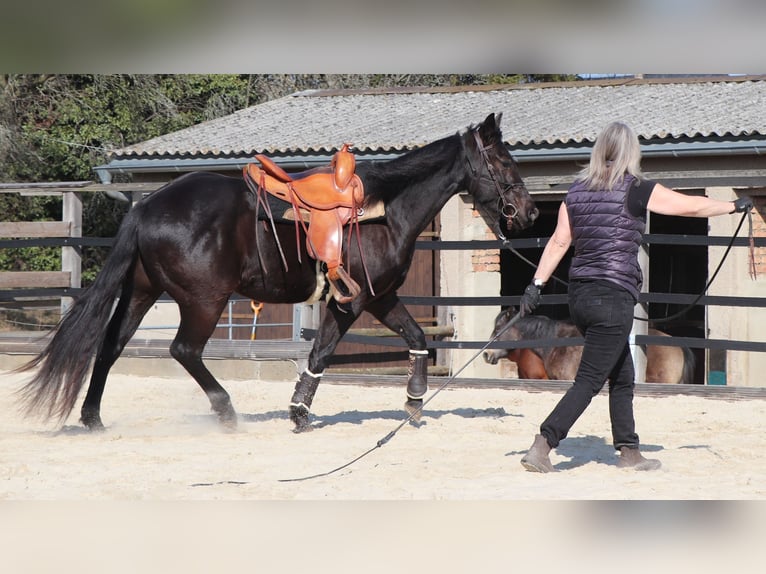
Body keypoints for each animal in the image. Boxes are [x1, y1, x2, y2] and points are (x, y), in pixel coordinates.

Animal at [16, 112, 539, 433]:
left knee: (109, 347)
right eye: (503, 160)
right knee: (184, 350)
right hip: (203, 302)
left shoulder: (382, 297)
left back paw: (93, 418)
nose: (530, 213)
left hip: (143, 294)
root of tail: (146, 207)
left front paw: (413, 401)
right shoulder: (352, 301)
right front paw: (299, 412)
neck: (385, 208)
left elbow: (418, 337)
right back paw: (226, 411)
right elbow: (322, 352)